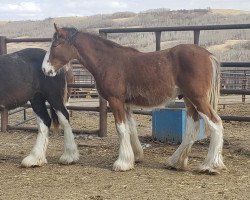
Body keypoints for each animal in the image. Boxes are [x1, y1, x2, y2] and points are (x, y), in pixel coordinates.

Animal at [42, 24, 226, 173]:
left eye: (55, 44)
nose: (44, 69)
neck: (108, 61)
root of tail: (209, 55)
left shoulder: (115, 101)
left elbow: (121, 129)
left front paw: (122, 163)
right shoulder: (126, 104)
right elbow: (131, 128)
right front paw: (135, 156)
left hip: (198, 99)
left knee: (216, 123)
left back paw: (210, 166)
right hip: (189, 100)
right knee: (192, 127)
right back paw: (176, 162)